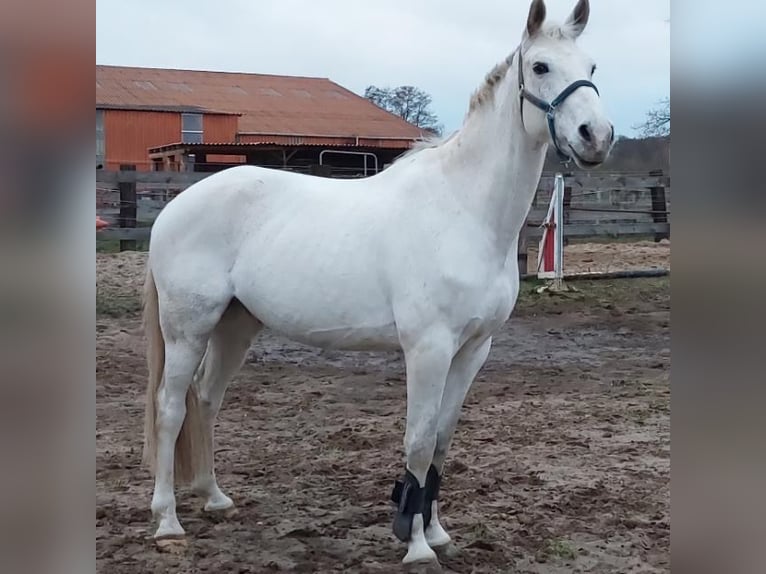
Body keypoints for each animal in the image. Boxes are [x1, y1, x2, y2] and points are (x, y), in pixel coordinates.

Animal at [141, 0, 616, 568]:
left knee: (207, 399)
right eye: (541, 66)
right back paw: (167, 523)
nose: (596, 137)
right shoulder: (428, 349)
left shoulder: (473, 349)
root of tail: (175, 207)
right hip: (187, 328)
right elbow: (418, 441)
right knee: (171, 409)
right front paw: (417, 547)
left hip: (237, 324)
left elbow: (441, 441)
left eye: (592, 67)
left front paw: (435, 531)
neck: (463, 210)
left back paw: (214, 498)